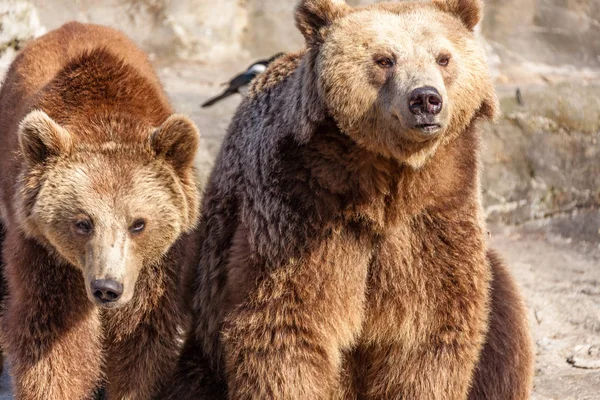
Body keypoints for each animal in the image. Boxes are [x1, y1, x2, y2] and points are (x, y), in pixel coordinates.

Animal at [0, 22, 202, 400]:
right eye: (83, 222)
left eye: (138, 223)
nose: (107, 288)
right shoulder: (46, 254)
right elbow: (54, 338)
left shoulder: (154, 266)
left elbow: (141, 337)